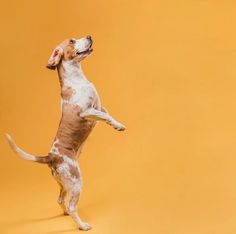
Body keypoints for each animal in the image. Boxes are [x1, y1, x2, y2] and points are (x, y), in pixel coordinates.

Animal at [5, 35, 125, 231]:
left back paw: (67, 213)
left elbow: (107, 113)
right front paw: (118, 125)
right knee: (71, 205)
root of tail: (50, 157)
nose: (89, 36)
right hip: (76, 183)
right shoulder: (87, 112)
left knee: (61, 200)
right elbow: (103, 115)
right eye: (72, 41)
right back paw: (82, 225)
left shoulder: (99, 107)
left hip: (64, 184)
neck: (78, 79)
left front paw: (116, 124)